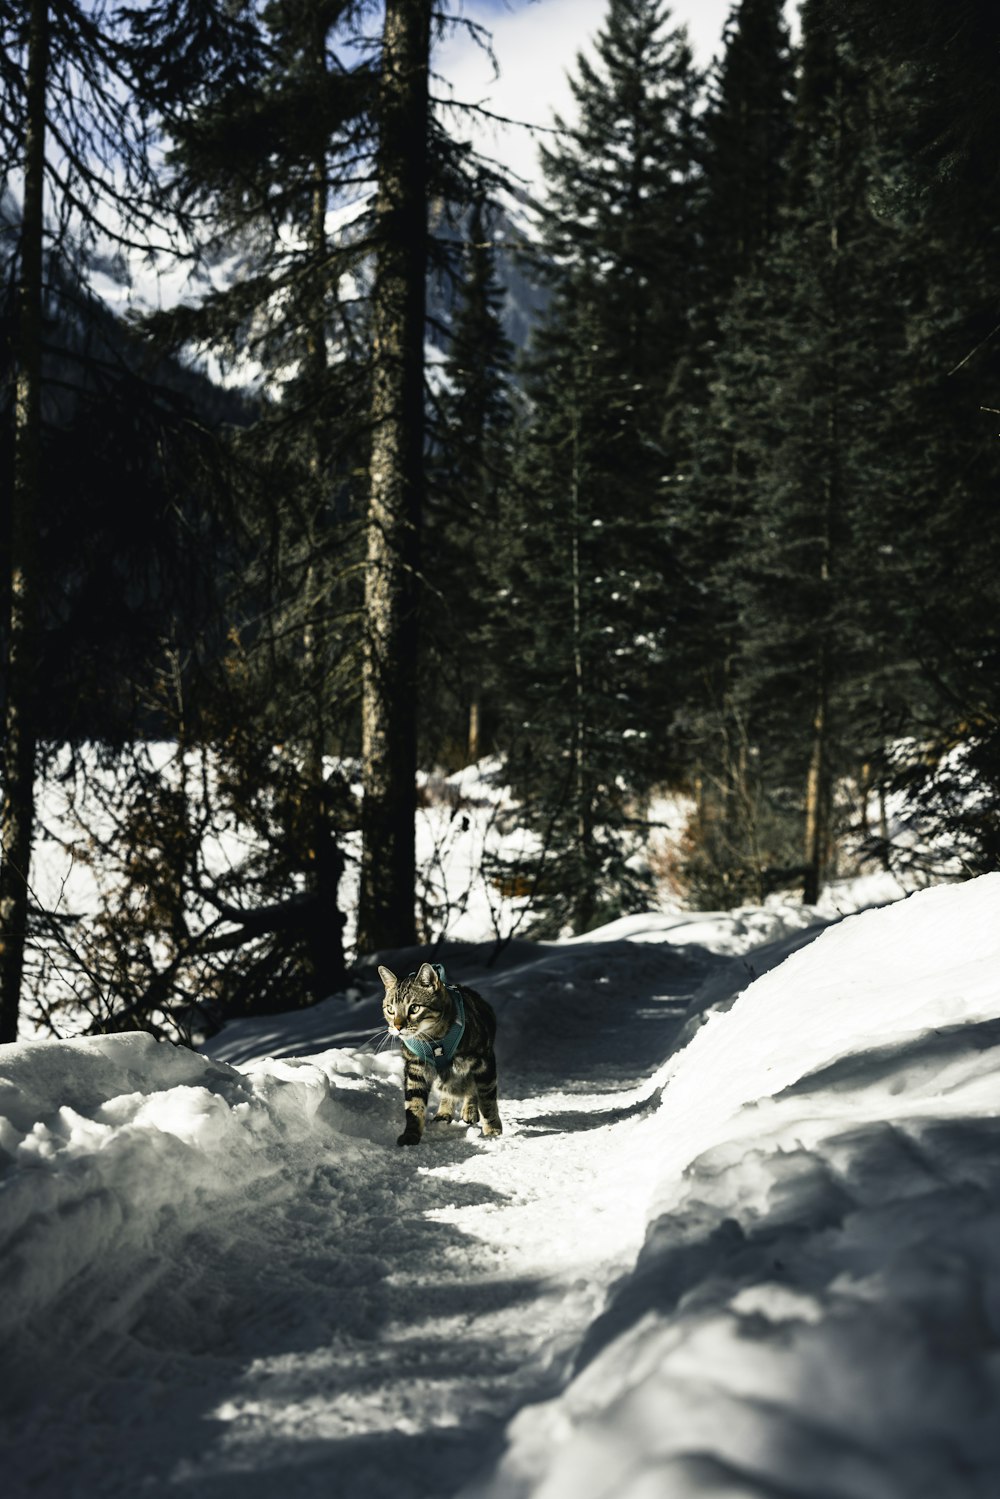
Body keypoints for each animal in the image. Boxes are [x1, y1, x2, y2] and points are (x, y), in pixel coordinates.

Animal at [380, 959, 503, 1145]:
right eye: (390, 1009)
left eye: (414, 1008)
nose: (398, 1026)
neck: (433, 1039)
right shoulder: (416, 1067)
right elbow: (414, 1103)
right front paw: (411, 1134)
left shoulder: (483, 1060)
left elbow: (487, 1099)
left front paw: (493, 1129)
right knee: (449, 1089)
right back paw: (444, 1112)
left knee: (471, 1088)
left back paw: (470, 1110)